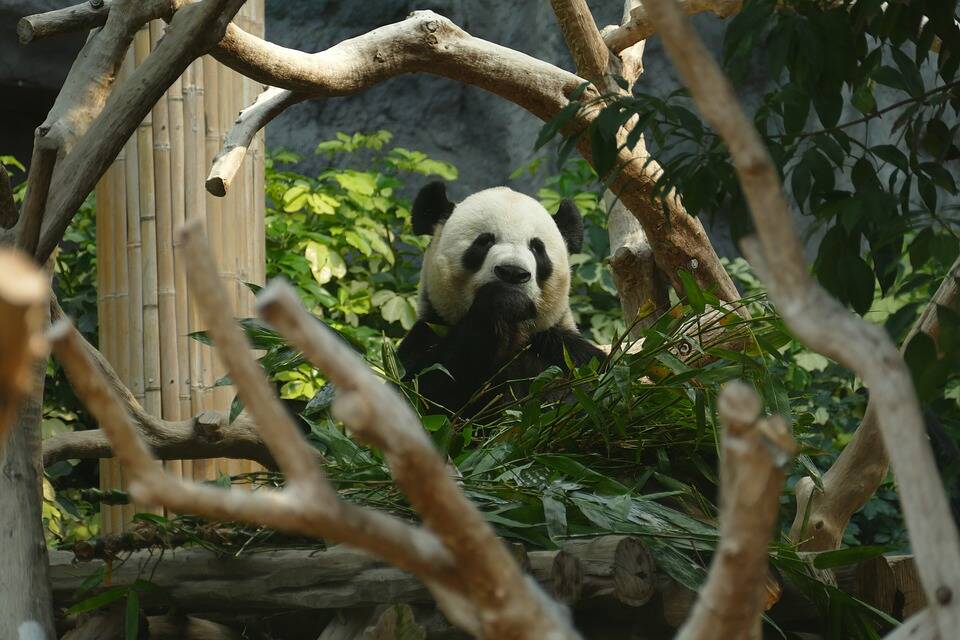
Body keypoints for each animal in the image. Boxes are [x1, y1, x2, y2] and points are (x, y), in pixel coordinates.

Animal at [397, 182, 605, 416]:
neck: (515, 333)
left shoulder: (562, 350)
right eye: (484, 241)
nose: (513, 272)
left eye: (537, 248)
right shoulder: (428, 334)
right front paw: (503, 300)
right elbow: (423, 393)